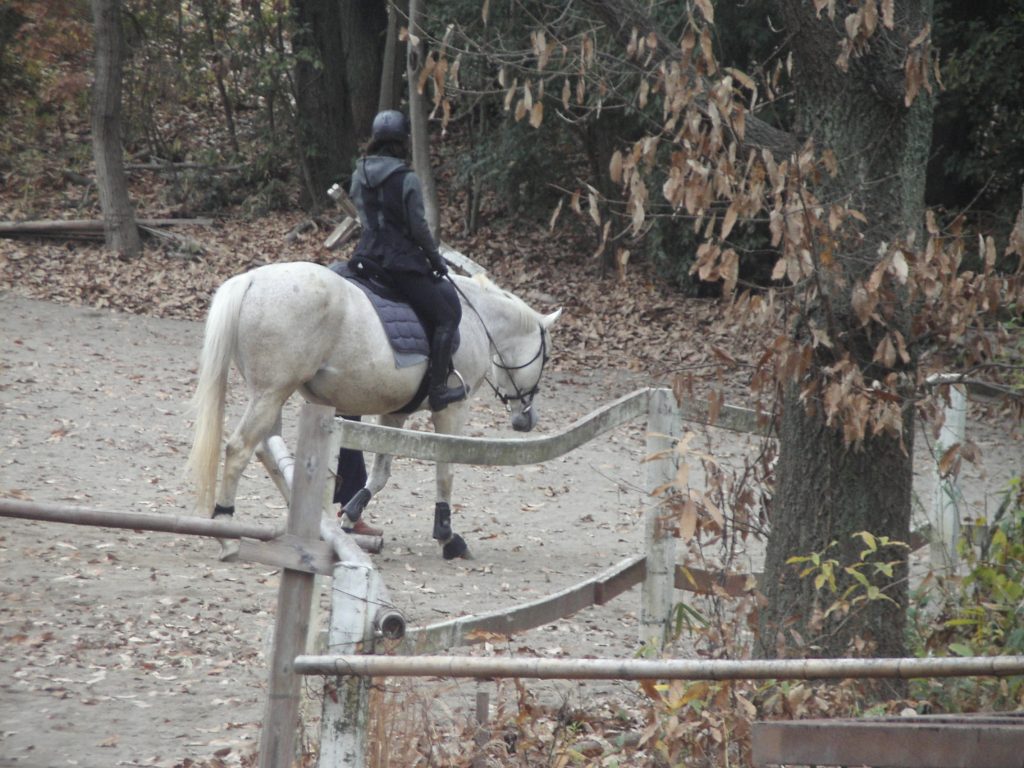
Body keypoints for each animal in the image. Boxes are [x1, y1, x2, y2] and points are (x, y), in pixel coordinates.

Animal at [185, 261, 561, 559]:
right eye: (546, 357)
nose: (527, 418)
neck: (475, 321)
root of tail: (252, 279)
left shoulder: (394, 413)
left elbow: (380, 472)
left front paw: (351, 516)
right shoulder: (453, 410)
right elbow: (446, 470)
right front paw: (448, 537)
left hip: (271, 395)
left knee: (267, 450)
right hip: (272, 393)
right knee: (240, 449)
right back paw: (227, 532)